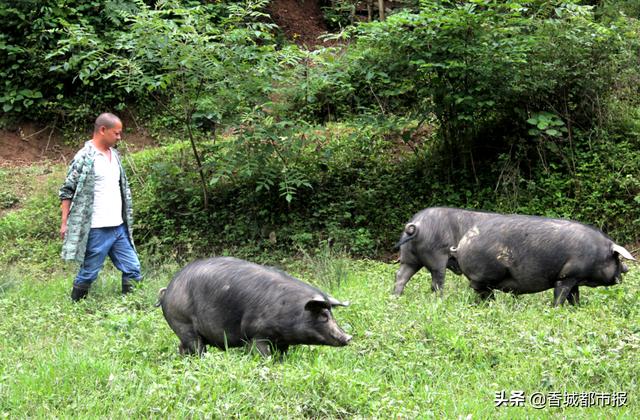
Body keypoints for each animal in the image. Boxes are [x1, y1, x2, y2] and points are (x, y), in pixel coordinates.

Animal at [157, 258, 352, 356]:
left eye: (332, 315)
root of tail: (167, 291)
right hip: (182, 322)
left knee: (182, 347)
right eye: (323, 316)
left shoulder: (283, 341)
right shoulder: (256, 334)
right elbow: (263, 355)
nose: (349, 337)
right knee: (197, 347)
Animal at [450, 215, 636, 306]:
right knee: (482, 291)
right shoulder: (566, 276)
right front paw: (556, 309)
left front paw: (578, 309)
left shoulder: (575, 279)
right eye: (617, 258)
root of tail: (462, 243)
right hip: (484, 276)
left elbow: (575, 297)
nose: (626, 268)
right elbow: (560, 296)